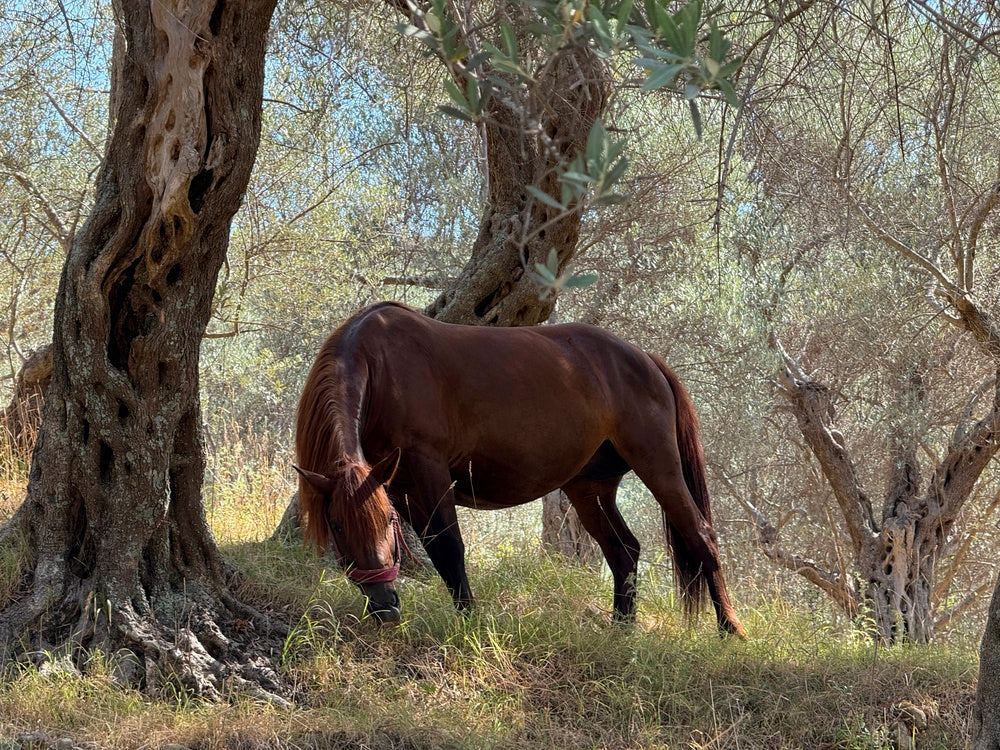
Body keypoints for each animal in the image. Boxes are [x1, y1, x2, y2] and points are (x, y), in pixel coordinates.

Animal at [294, 301, 744, 637]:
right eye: (337, 526)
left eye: (386, 522)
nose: (386, 608)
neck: (383, 365)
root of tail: (645, 359)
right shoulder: (399, 486)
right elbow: (437, 549)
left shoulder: (428, 473)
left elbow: (449, 549)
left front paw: (470, 623)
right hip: (590, 488)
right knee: (623, 551)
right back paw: (621, 631)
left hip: (659, 466)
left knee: (701, 536)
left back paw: (730, 630)